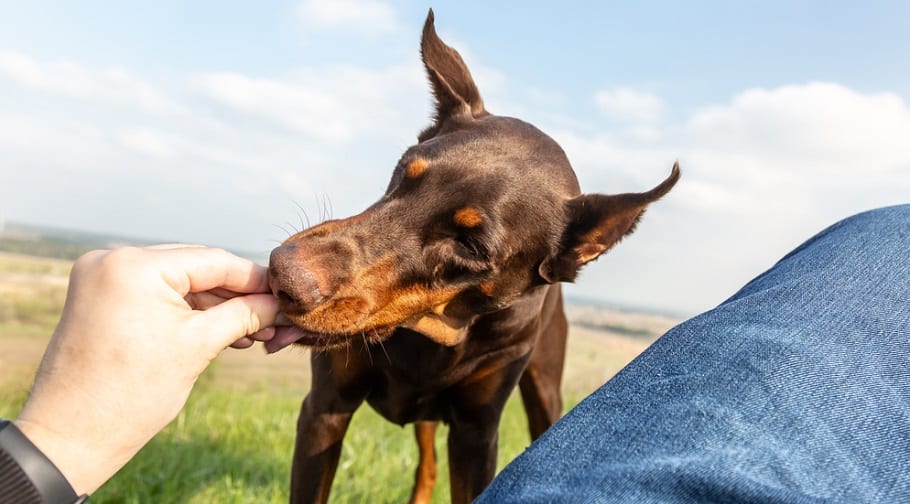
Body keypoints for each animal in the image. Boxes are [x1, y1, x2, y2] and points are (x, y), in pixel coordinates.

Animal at [264, 8, 676, 504]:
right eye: (403, 171)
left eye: (472, 246)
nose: (284, 275)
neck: (434, 333)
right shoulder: (326, 409)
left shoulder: (476, 434)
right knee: (425, 461)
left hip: (544, 387)